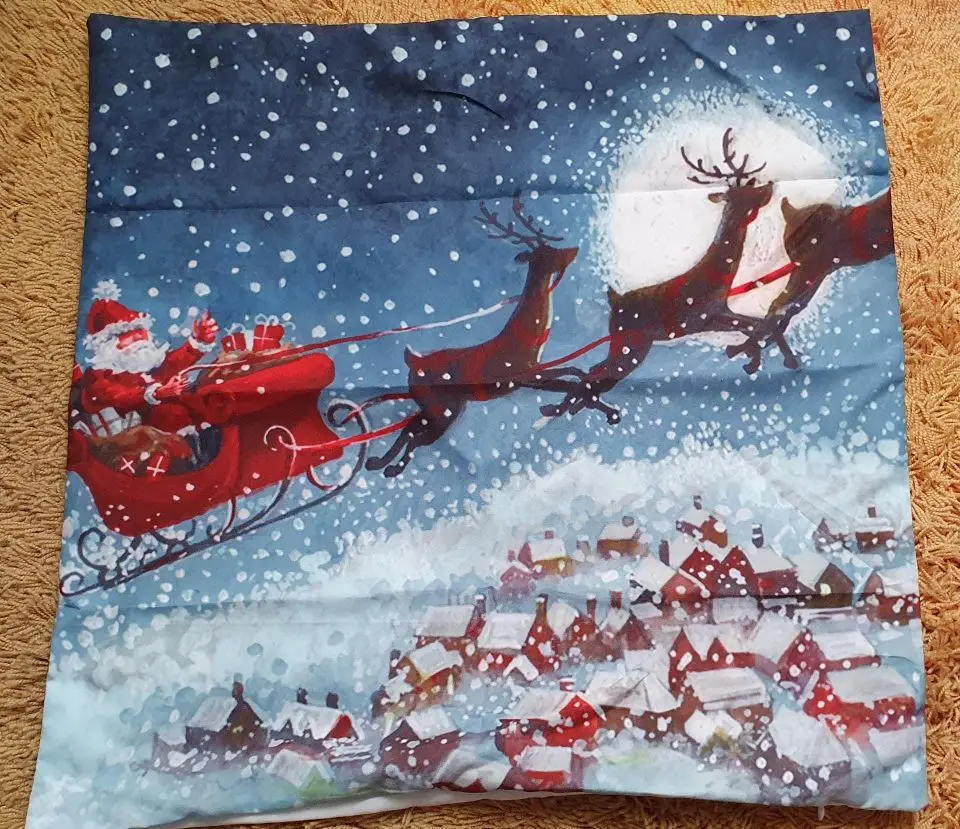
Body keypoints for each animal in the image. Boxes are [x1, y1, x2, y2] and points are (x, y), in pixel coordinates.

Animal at [365, 194, 579, 477]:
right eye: (548, 252)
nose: (575, 249)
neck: (529, 340)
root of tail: (412, 359)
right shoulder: (525, 375)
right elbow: (571, 377)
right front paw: (560, 405)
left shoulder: (531, 373)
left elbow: (574, 372)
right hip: (444, 408)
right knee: (416, 437)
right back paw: (391, 469)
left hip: (431, 406)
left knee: (409, 429)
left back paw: (377, 463)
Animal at [525, 128, 774, 424]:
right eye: (745, 191)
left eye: (751, 183)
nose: (771, 185)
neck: (718, 276)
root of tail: (614, 299)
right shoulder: (704, 317)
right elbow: (756, 326)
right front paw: (753, 361)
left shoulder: (720, 313)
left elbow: (757, 324)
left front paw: (753, 360)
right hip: (631, 343)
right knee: (598, 373)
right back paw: (567, 411)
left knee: (595, 371)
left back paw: (563, 409)